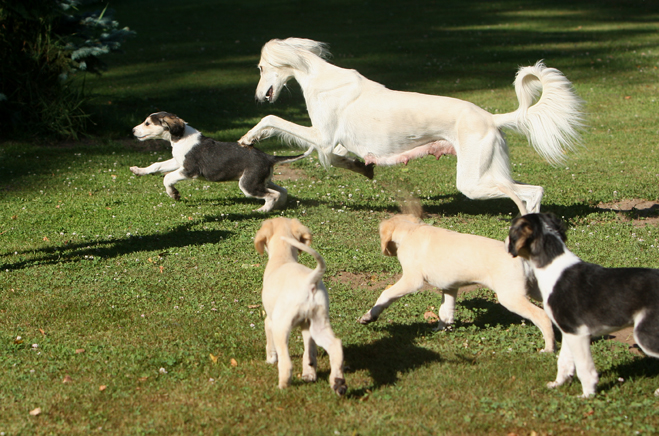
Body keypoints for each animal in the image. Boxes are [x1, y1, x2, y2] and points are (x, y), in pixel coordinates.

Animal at [133, 111, 314, 212]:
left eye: (147, 123)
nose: (133, 130)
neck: (180, 137)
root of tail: (269, 156)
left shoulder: (189, 170)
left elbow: (167, 177)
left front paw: (173, 193)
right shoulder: (178, 162)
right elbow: (157, 165)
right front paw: (138, 170)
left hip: (248, 185)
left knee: (273, 195)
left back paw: (262, 210)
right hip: (260, 180)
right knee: (282, 191)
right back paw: (278, 207)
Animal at [240, 37, 584, 215]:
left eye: (260, 68)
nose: (256, 96)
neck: (319, 76)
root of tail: (491, 117)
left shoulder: (322, 136)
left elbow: (274, 121)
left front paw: (248, 136)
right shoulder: (330, 143)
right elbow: (340, 160)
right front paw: (361, 167)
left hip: (473, 182)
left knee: (528, 193)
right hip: (489, 170)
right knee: (528, 192)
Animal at [254, 218, 350, 396]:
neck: (283, 258)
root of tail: (309, 280)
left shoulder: (270, 320)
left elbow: (269, 341)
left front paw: (270, 359)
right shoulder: (306, 326)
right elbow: (309, 352)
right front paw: (309, 373)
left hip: (281, 326)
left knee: (286, 363)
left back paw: (282, 385)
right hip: (319, 325)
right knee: (335, 346)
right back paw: (338, 382)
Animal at [358, 215, 556, 354]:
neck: (411, 230)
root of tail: (522, 256)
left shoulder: (412, 280)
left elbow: (385, 295)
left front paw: (369, 316)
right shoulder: (450, 288)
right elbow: (445, 312)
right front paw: (441, 330)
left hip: (511, 297)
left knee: (541, 316)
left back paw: (549, 348)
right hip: (536, 290)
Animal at [510, 213, 659, 396]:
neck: (552, 265)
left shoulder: (578, 333)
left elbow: (584, 368)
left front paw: (587, 394)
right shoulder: (568, 331)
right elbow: (564, 361)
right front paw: (558, 384)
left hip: (645, 334)